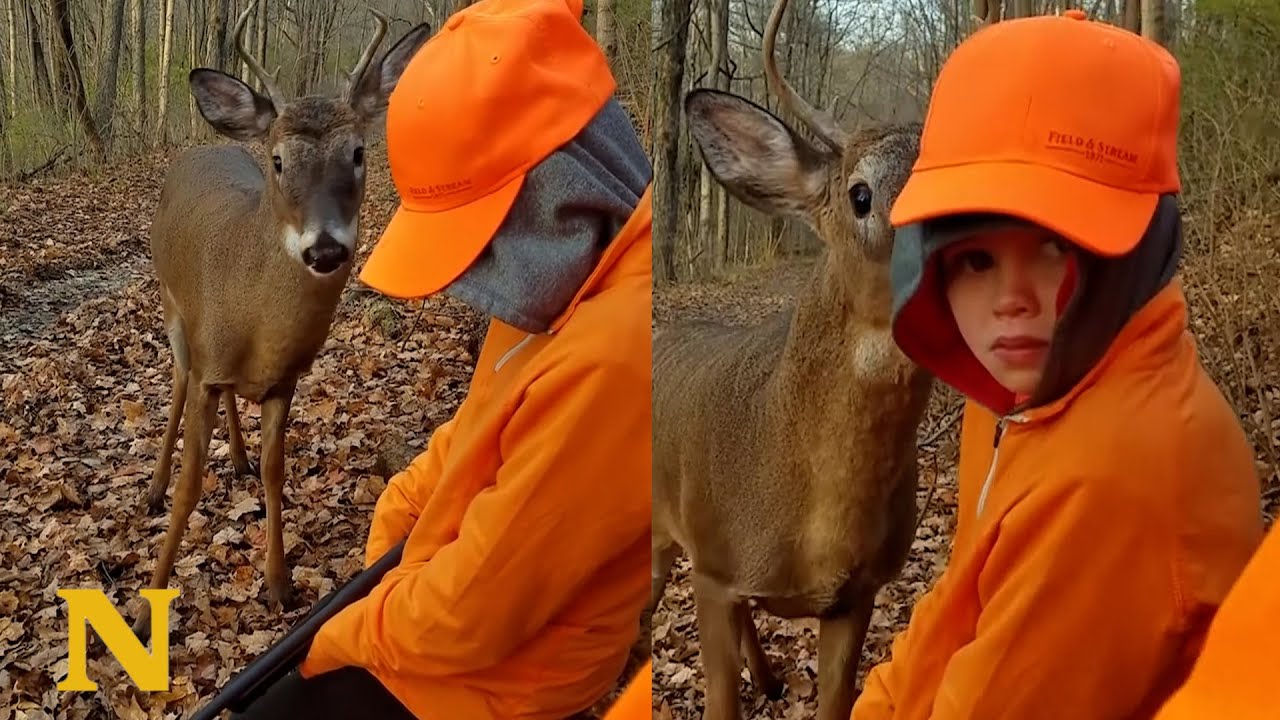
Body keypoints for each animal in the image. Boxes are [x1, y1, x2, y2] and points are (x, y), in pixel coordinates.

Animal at [130, 1, 430, 639]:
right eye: (278, 160)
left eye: (359, 153)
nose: (325, 249)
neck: (259, 325)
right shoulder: (209, 361)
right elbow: (191, 486)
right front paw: (147, 608)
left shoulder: (283, 380)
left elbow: (275, 473)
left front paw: (278, 582)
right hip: (172, 306)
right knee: (176, 382)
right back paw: (152, 488)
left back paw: (238, 459)